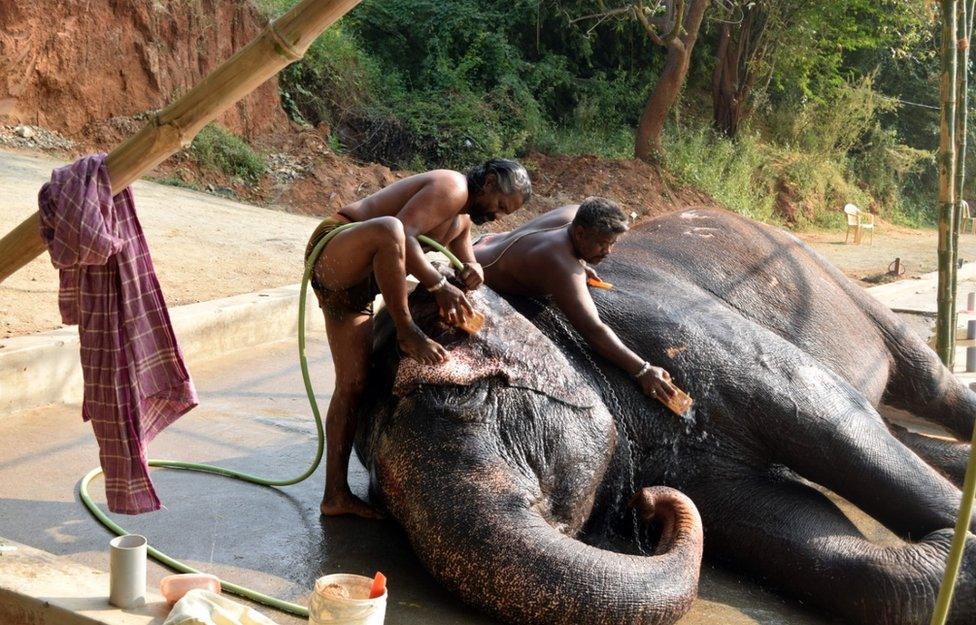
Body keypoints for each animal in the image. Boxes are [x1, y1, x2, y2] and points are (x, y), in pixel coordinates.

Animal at [350, 207, 976, 620]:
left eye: (457, 395)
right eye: (381, 499)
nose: (648, 505)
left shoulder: (676, 325)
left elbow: (831, 415)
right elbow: (805, 531)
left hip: (831, 277)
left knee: (925, 382)